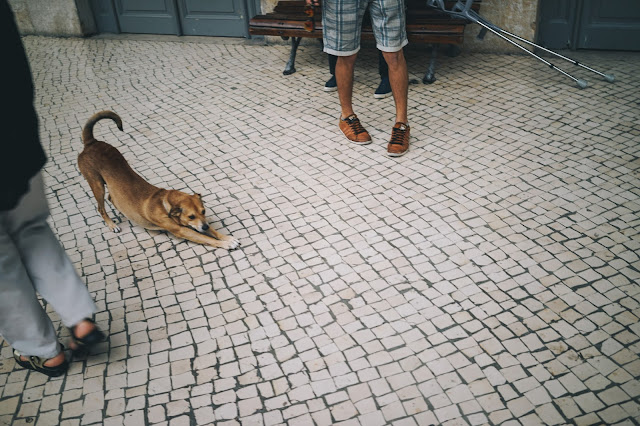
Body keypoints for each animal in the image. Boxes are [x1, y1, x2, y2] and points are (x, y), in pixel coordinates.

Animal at [77, 110, 240, 250]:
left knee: (112, 198)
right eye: (191, 216)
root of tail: (91, 142)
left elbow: (213, 232)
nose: (205, 226)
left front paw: (226, 237)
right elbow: (207, 238)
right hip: (97, 185)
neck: (164, 203)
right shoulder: (182, 230)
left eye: (204, 211)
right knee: (101, 208)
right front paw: (225, 243)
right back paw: (112, 225)